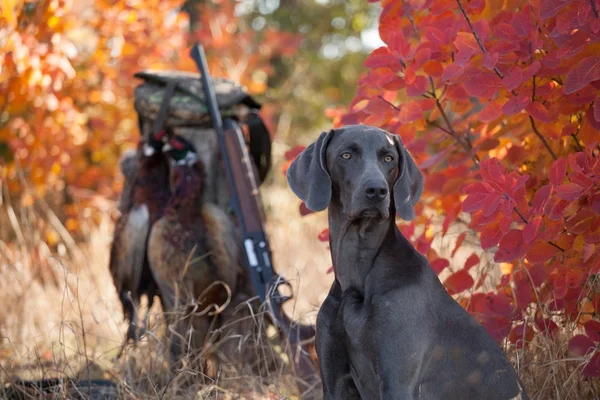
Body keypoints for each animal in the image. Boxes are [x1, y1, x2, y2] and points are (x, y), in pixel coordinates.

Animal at [286, 125, 524, 400]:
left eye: (389, 158)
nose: (377, 190)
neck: (357, 276)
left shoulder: (397, 381)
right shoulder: (334, 382)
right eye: (346, 155)